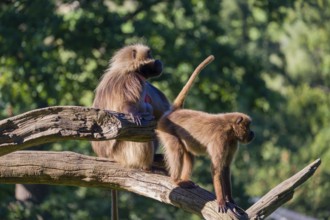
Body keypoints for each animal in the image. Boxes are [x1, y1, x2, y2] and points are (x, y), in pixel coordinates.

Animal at [91, 43, 170, 220]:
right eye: (150, 54)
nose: (160, 61)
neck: (128, 68)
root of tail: (107, 157)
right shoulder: (132, 80)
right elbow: (127, 105)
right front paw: (133, 113)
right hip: (122, 152)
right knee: (144, 130)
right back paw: (147, 167)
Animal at [157, 55, 255, 216]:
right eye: (248, 126)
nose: (252, 133)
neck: (229, 129)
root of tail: (174, 112)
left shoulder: (233, 142)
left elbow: (225, 168)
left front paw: (231, 201)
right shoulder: (221, 139)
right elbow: (216, 168)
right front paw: (221, 201)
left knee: (189, 154)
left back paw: (184, 179)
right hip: (165, 128)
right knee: (177, 149)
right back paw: (176, 180)